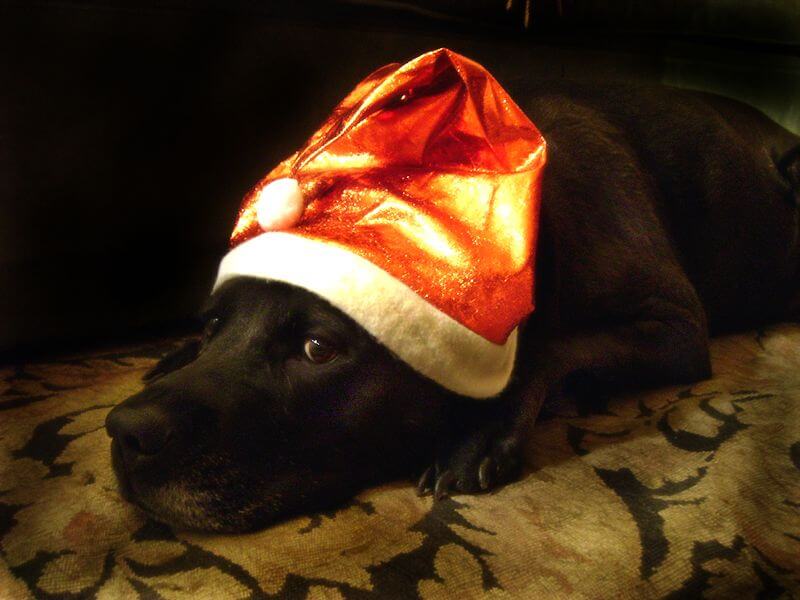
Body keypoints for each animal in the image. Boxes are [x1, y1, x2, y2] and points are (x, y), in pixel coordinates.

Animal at [104, 81, 800, 536]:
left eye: (317, 348)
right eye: (215, 325)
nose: (123, 430)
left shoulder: (676, 327)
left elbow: (549, 348)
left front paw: (480, 431)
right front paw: (173, 354)